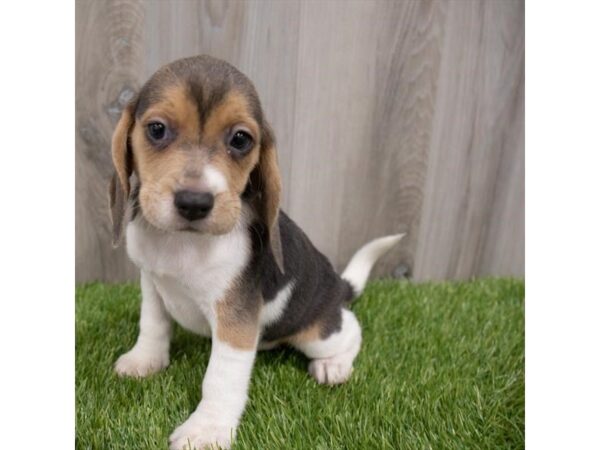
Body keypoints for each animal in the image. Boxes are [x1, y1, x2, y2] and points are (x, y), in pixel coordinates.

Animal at [110, 56, 404, 450]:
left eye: (240, 139)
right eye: (156, 130)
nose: (194, 202)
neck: (184, 244)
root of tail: (338, 286)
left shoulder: (236, 319)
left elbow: (220, 378)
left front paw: (207, 429)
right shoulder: (153, 284)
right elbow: (153, 325)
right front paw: (145, 360)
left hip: (316, 333)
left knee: (351, 329)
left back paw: (334, 365)